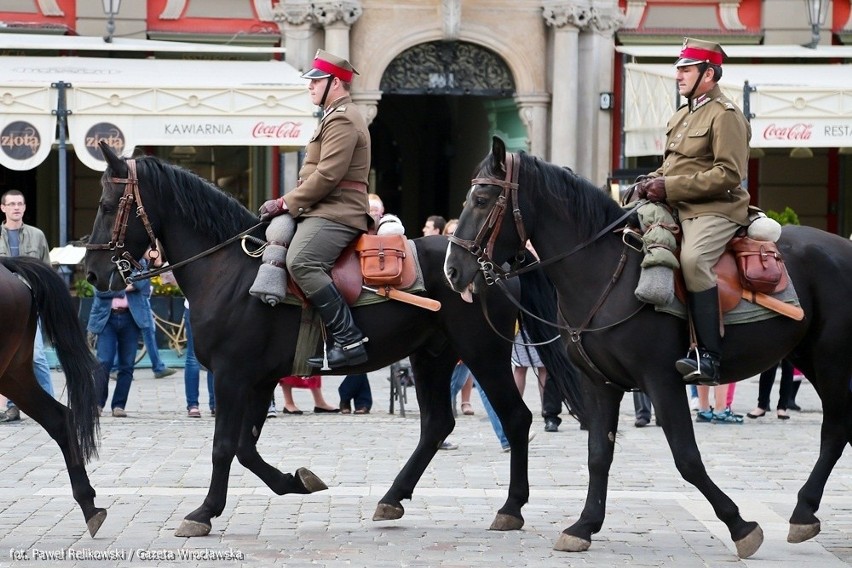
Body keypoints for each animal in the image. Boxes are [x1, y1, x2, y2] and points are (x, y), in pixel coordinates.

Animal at [83, 141, 584, 536]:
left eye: (107, 205)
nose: (91, 272)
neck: (229, 273)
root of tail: (494, 262)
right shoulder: (259, 379)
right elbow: (245, 447)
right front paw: (295, 481)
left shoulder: (233, 376)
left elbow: (224, 446)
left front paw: (204, 512)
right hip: (433, 357)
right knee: (436, 425)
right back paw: (392, 498)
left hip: (484, 353)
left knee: (516, 418)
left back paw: (510, 507)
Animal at [442, 136, 852, 560]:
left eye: (482, 199)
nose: (452, 270)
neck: (605, 273)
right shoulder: (599, 384)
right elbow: (598, 454)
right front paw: (584, 525)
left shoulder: (662, 380)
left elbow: (687, 458)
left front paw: (740, 525)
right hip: (809, 357)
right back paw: (805, 511)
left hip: (832, 360)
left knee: (836, 428)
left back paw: (803, 510)